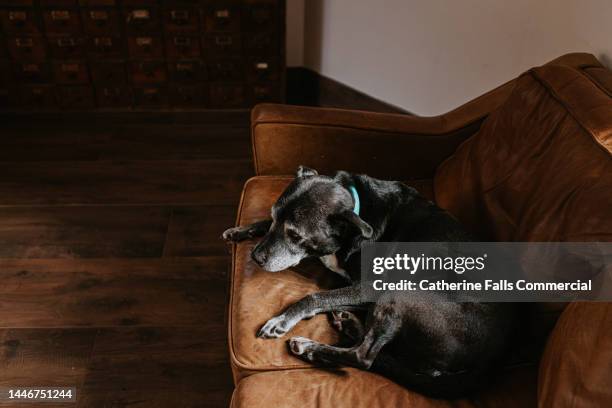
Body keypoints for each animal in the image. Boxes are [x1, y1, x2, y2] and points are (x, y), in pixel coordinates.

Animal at [222, 167, 520, 398]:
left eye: (295, 235)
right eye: (274, 216)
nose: (255, 257)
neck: (357, 214)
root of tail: (494, 360)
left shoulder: (367, 288)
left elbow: (314, 297)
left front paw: (282, 320)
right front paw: (243, 229)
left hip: (402, 293)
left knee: (364, 357)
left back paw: (311, 349)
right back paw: (350, 325)